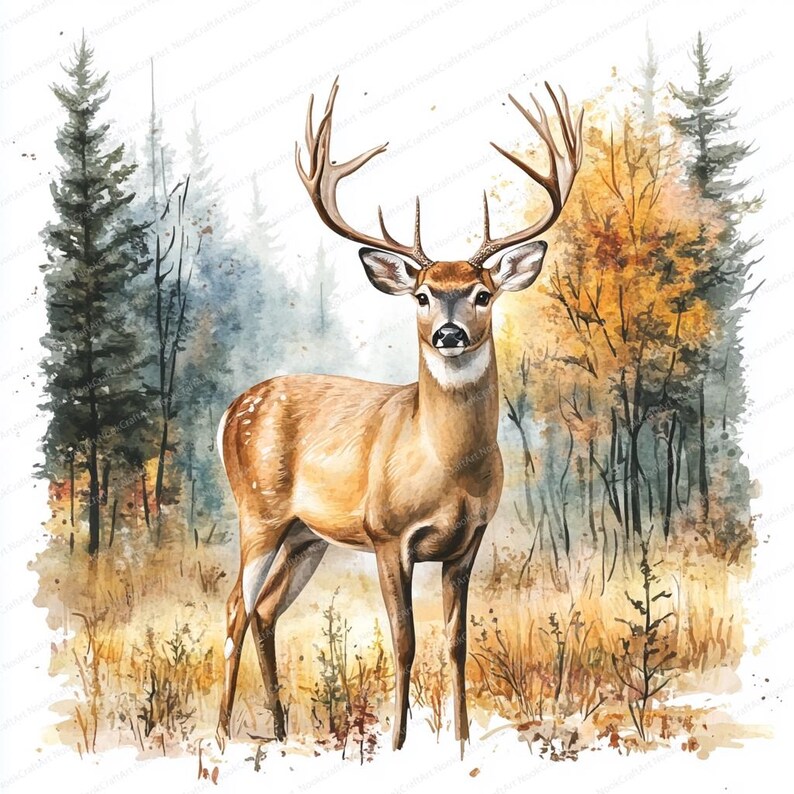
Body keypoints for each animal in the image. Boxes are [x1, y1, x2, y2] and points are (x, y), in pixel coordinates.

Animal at [215, 78, 582, 755]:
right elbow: (405, 641)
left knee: (266, 609)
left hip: (306, 535)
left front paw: (460, 742)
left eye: (483, 293)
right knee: (235, 608)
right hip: (258, 510)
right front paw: (397, 743)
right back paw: (224, 736)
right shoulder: (388, 534)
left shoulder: (469, 541)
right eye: (422, 295)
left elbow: (457, 643)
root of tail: (231, 409)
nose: (448, 333)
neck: (449, 469)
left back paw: (277, 730)